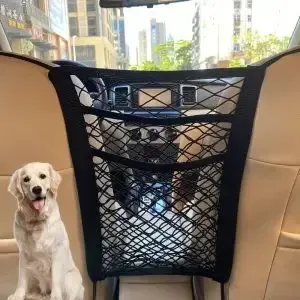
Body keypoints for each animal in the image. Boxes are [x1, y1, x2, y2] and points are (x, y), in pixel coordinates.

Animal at [7, 163, 84, 300]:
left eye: (42, 176)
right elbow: (22, 278)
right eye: (26, 179)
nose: (36, 189)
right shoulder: (24, 253)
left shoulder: (56, 251)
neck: (36, 220)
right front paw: (18, 295)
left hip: (71, 278)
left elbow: (55, 278)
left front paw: (56, 296)